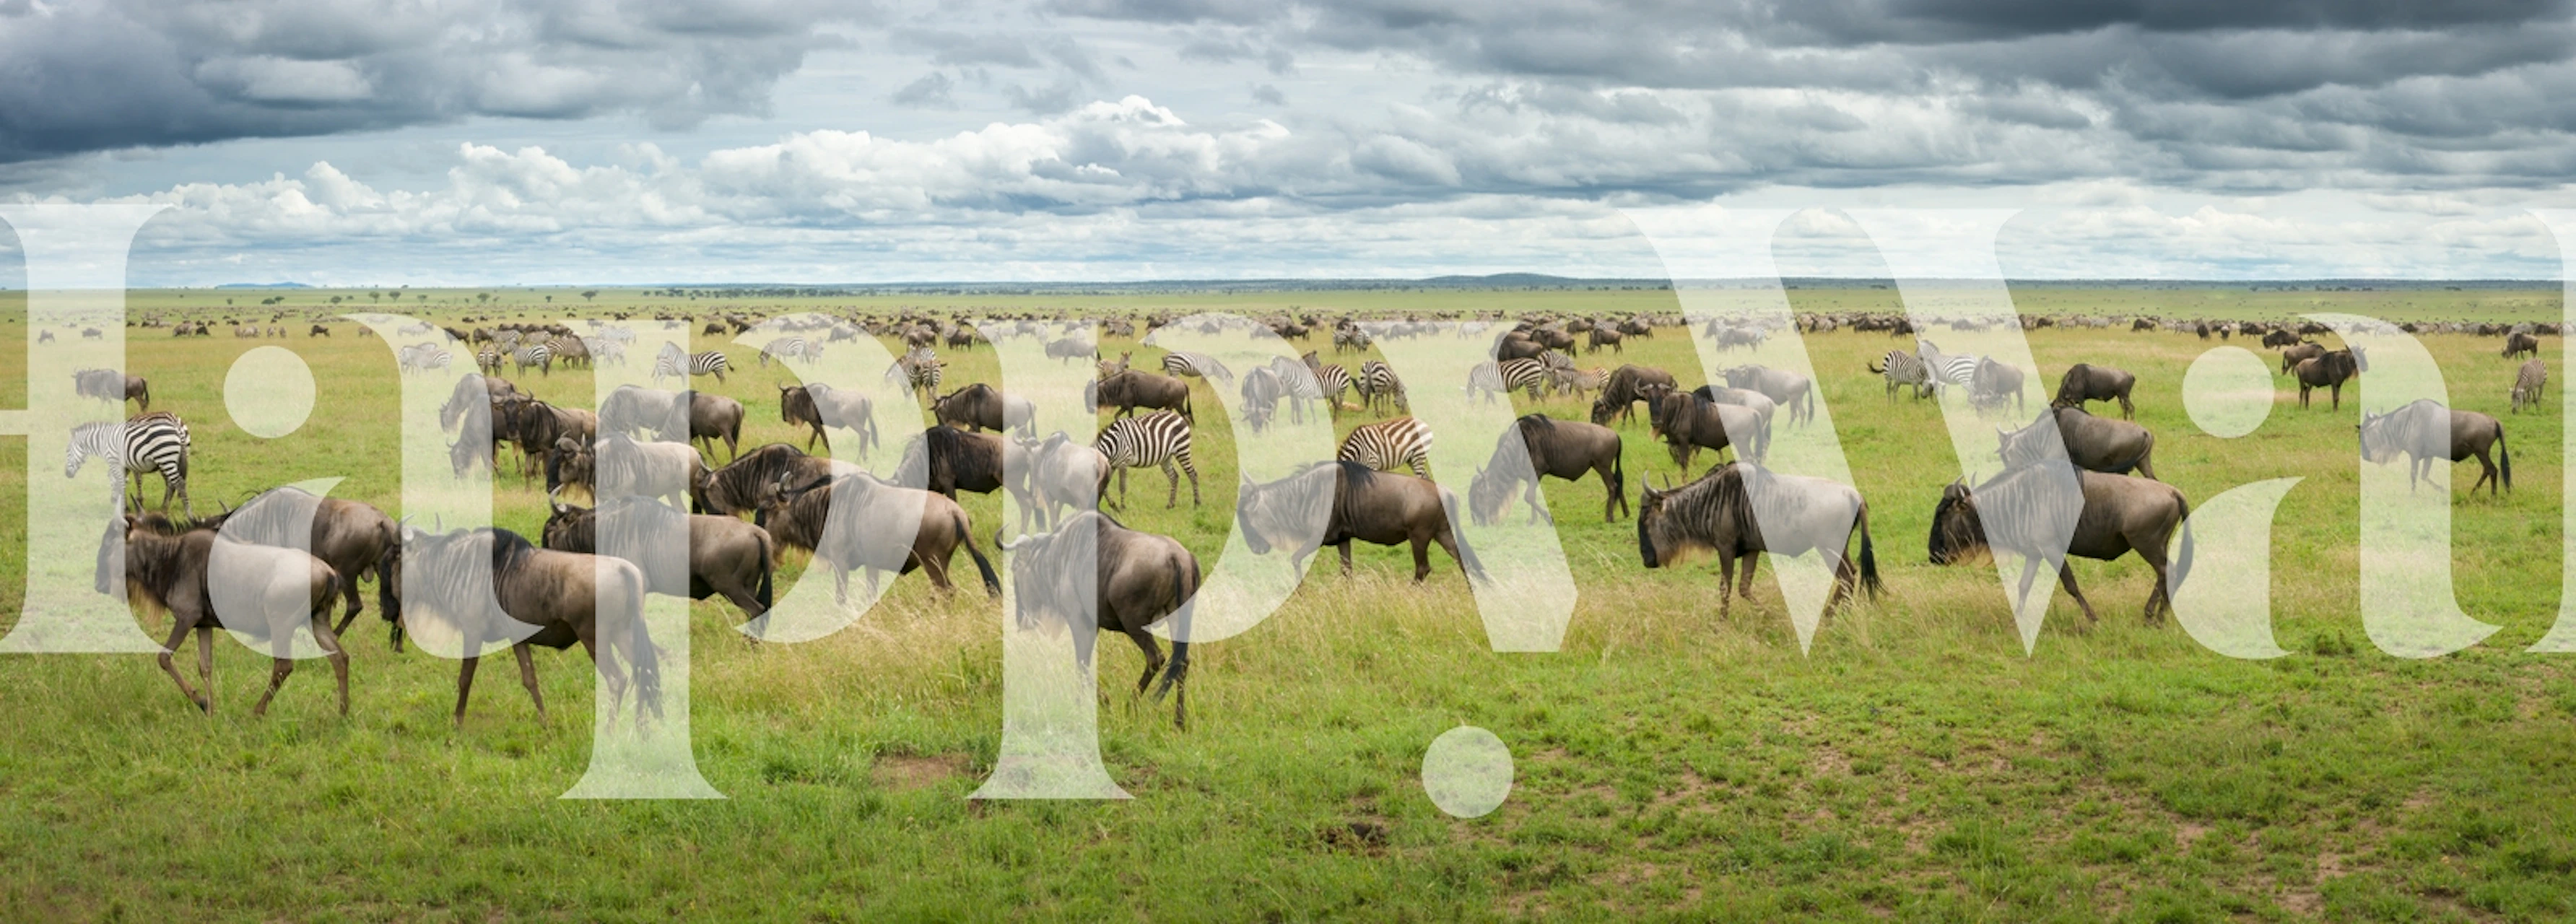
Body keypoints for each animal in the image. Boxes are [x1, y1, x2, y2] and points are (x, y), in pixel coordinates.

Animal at [66, 413, 193, 516]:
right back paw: (164, 509)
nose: (67, 474)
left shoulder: (115, 461)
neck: (104, 441)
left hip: (165, 458)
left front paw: (125, 507)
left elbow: (120, 481)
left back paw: (188, 514)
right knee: (172, 483)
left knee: (179, 483)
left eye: (67, 452)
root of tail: (176, 427)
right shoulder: (126, 465)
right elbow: (124, 481)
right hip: (171, 460)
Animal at [1093, 410, 1201, 508]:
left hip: (1182, 449)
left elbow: (1122, 486)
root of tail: (1177, 416)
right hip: (1166, 456)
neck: (1112, 446)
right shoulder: (1112, 465)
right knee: (1174, 476)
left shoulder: (1123, 462)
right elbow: (1104, 486)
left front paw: (1122, 507)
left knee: (1192, 474)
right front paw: (1112, 505)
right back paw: (1170, 505)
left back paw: (1197, 504)